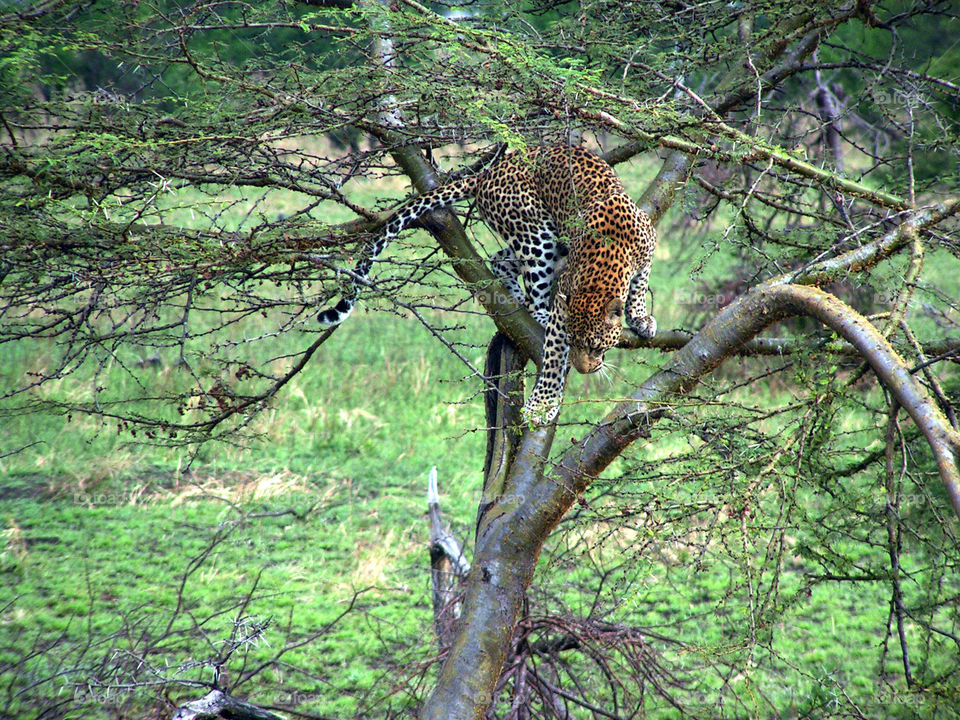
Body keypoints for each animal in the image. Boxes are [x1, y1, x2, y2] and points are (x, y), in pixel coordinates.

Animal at [318, 145, 656, 422]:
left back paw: (516, 295)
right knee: (525, 276)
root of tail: (488, 172)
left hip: (548, 240)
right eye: (572, 342)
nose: (585, 368)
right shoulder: (565, 302)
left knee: (500, 259)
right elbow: (551, 357)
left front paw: (640, 317)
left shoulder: (648, 244)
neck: (605, 265)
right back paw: (534, 308)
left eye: (597, 346)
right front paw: (543, 403)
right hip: (535, 234)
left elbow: (640, 285)